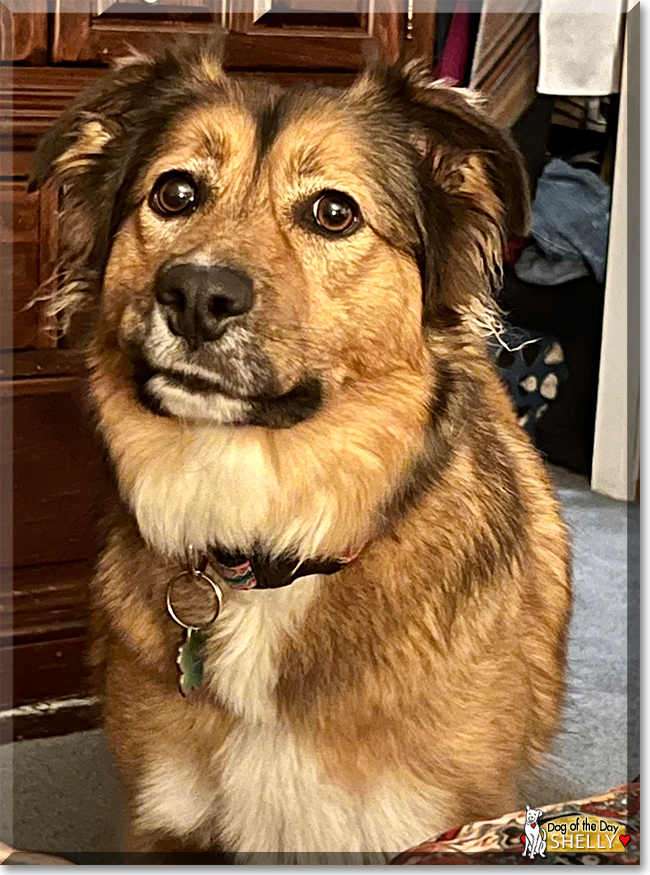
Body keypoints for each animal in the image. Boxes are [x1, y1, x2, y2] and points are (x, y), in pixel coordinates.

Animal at [30, 46, 568, 864]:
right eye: (175, 192)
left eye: (333, 212)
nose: (196, 295)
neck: (268, 542)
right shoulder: (165, 825)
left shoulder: (434, 828)